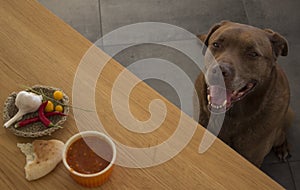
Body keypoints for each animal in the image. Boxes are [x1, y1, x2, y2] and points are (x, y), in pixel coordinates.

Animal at [193, 20, 294, 167]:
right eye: (216, 44)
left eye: (253, 54)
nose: (218, 71)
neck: (232, 116)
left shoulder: (253, 158)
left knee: (281, 134)